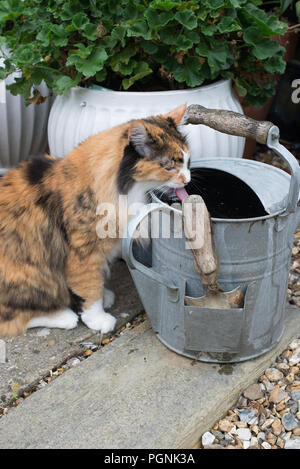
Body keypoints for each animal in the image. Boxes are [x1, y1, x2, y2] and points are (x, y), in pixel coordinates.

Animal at [0, 103, 190, 334]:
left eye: (188, 161)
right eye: (169, 165)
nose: (188, 180)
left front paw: (102, 296)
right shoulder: (83, 251)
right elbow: (89, 286)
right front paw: (98, 319)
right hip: (31, 273)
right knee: (15, 318)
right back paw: (65, 316)